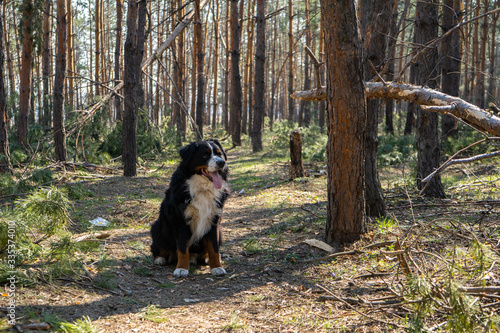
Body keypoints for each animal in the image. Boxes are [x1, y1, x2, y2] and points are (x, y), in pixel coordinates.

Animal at [150, 139, 230, 276]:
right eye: (205, 155)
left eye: (219, 153)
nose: (221, 162)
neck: (203, 189)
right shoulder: (180, 220)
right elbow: (182, 248)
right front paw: (181, 268)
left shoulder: (214, 221)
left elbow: (214, 247)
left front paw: (216, 267)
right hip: (159, 227)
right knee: (159, 248)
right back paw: (160, 258)